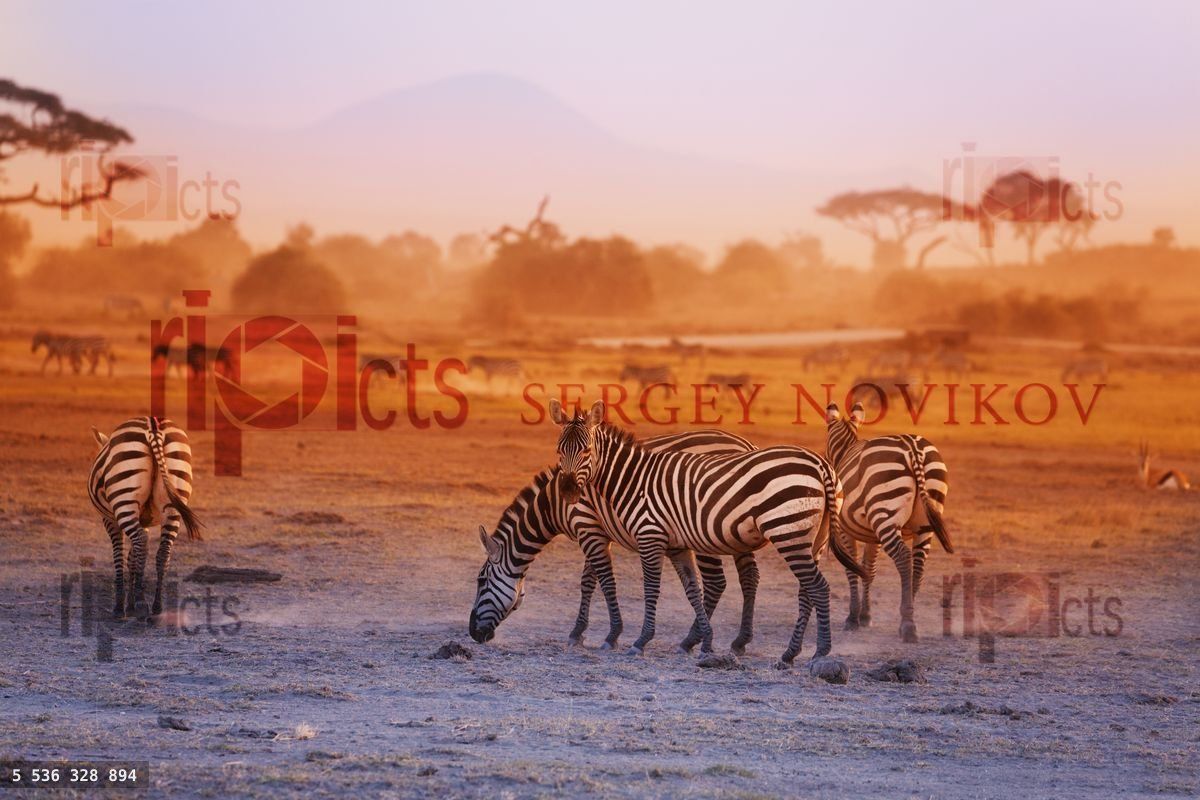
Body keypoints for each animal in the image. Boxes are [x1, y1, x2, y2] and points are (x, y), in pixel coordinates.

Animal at [88, 417, 202, 619]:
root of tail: (153, 426)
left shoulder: (110, 520)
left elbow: (120, 556)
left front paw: (122, 606)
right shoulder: (143, 521)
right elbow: (133, 558)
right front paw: (130, 603)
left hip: (125, 499)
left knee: (141, 541)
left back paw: (141, 605)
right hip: (173, 502)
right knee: (163, 550)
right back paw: (157, 606)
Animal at [470, 429, 762, 654]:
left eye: (481, 581)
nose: (472, 633)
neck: (554, 504)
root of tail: (746, 445)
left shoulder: (587, 527)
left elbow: (605, 582)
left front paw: (611, 635)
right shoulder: (597, 532)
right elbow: (588, 581)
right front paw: (578, 632)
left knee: (716, 582)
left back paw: (693, 640)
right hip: (737, 532)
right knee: (749, 576)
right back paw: (739, 641)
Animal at [546, 398, 865, 665]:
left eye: (587, 451)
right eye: (559, 450)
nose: (568, 491)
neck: (633, 479)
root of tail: (822, 465)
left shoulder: (649, 536)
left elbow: (650, 588)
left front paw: (639, 641)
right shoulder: (674, 543)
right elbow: (692, 588)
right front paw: (701, 641)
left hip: (788, 531)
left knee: (818, 587)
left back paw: (818, 652)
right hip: (814, 538)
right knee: (806, 589)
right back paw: (791, 652)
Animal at [824, 401, 952, 641]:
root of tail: (913, 449)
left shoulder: (846, 531)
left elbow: (852, 569)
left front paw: (853, 618)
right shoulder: (872, 536)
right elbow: (869, 569)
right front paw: (865, 616)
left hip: (885, 512)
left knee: (903, 557)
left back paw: (908, 624)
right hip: (924, 522)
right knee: (918, 562)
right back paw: (908, 614)